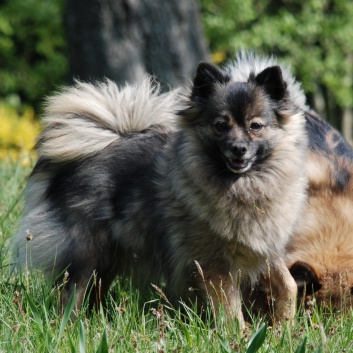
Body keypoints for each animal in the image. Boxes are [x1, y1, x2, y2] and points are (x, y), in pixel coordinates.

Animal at [12, 53, 306, 326]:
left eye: (255, 126)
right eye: (221, 126)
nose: (238, 148)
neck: (245, 184)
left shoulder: (264, 247)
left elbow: (289, 285)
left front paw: (284, 326)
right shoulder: (215, 265)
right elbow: (232, 313)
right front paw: (241, 336)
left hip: (108, 257)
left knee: (94, 290)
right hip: (86, 253)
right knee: (71, 292)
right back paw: (69, 327)